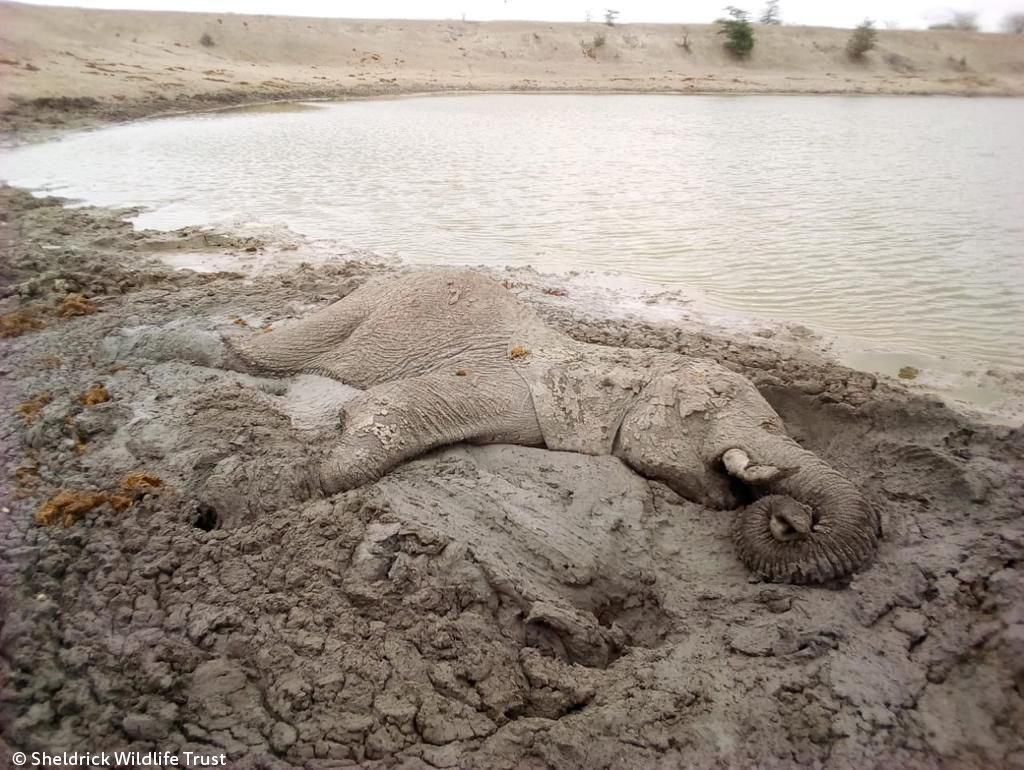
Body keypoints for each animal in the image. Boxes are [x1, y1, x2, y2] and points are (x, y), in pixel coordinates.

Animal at [217, 268, 879, 584]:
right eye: (710, 409)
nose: (793, 519)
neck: (602, 361)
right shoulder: (507, 385)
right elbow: (390, 410)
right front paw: (289, 487)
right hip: (361, 309)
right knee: (276, 352)